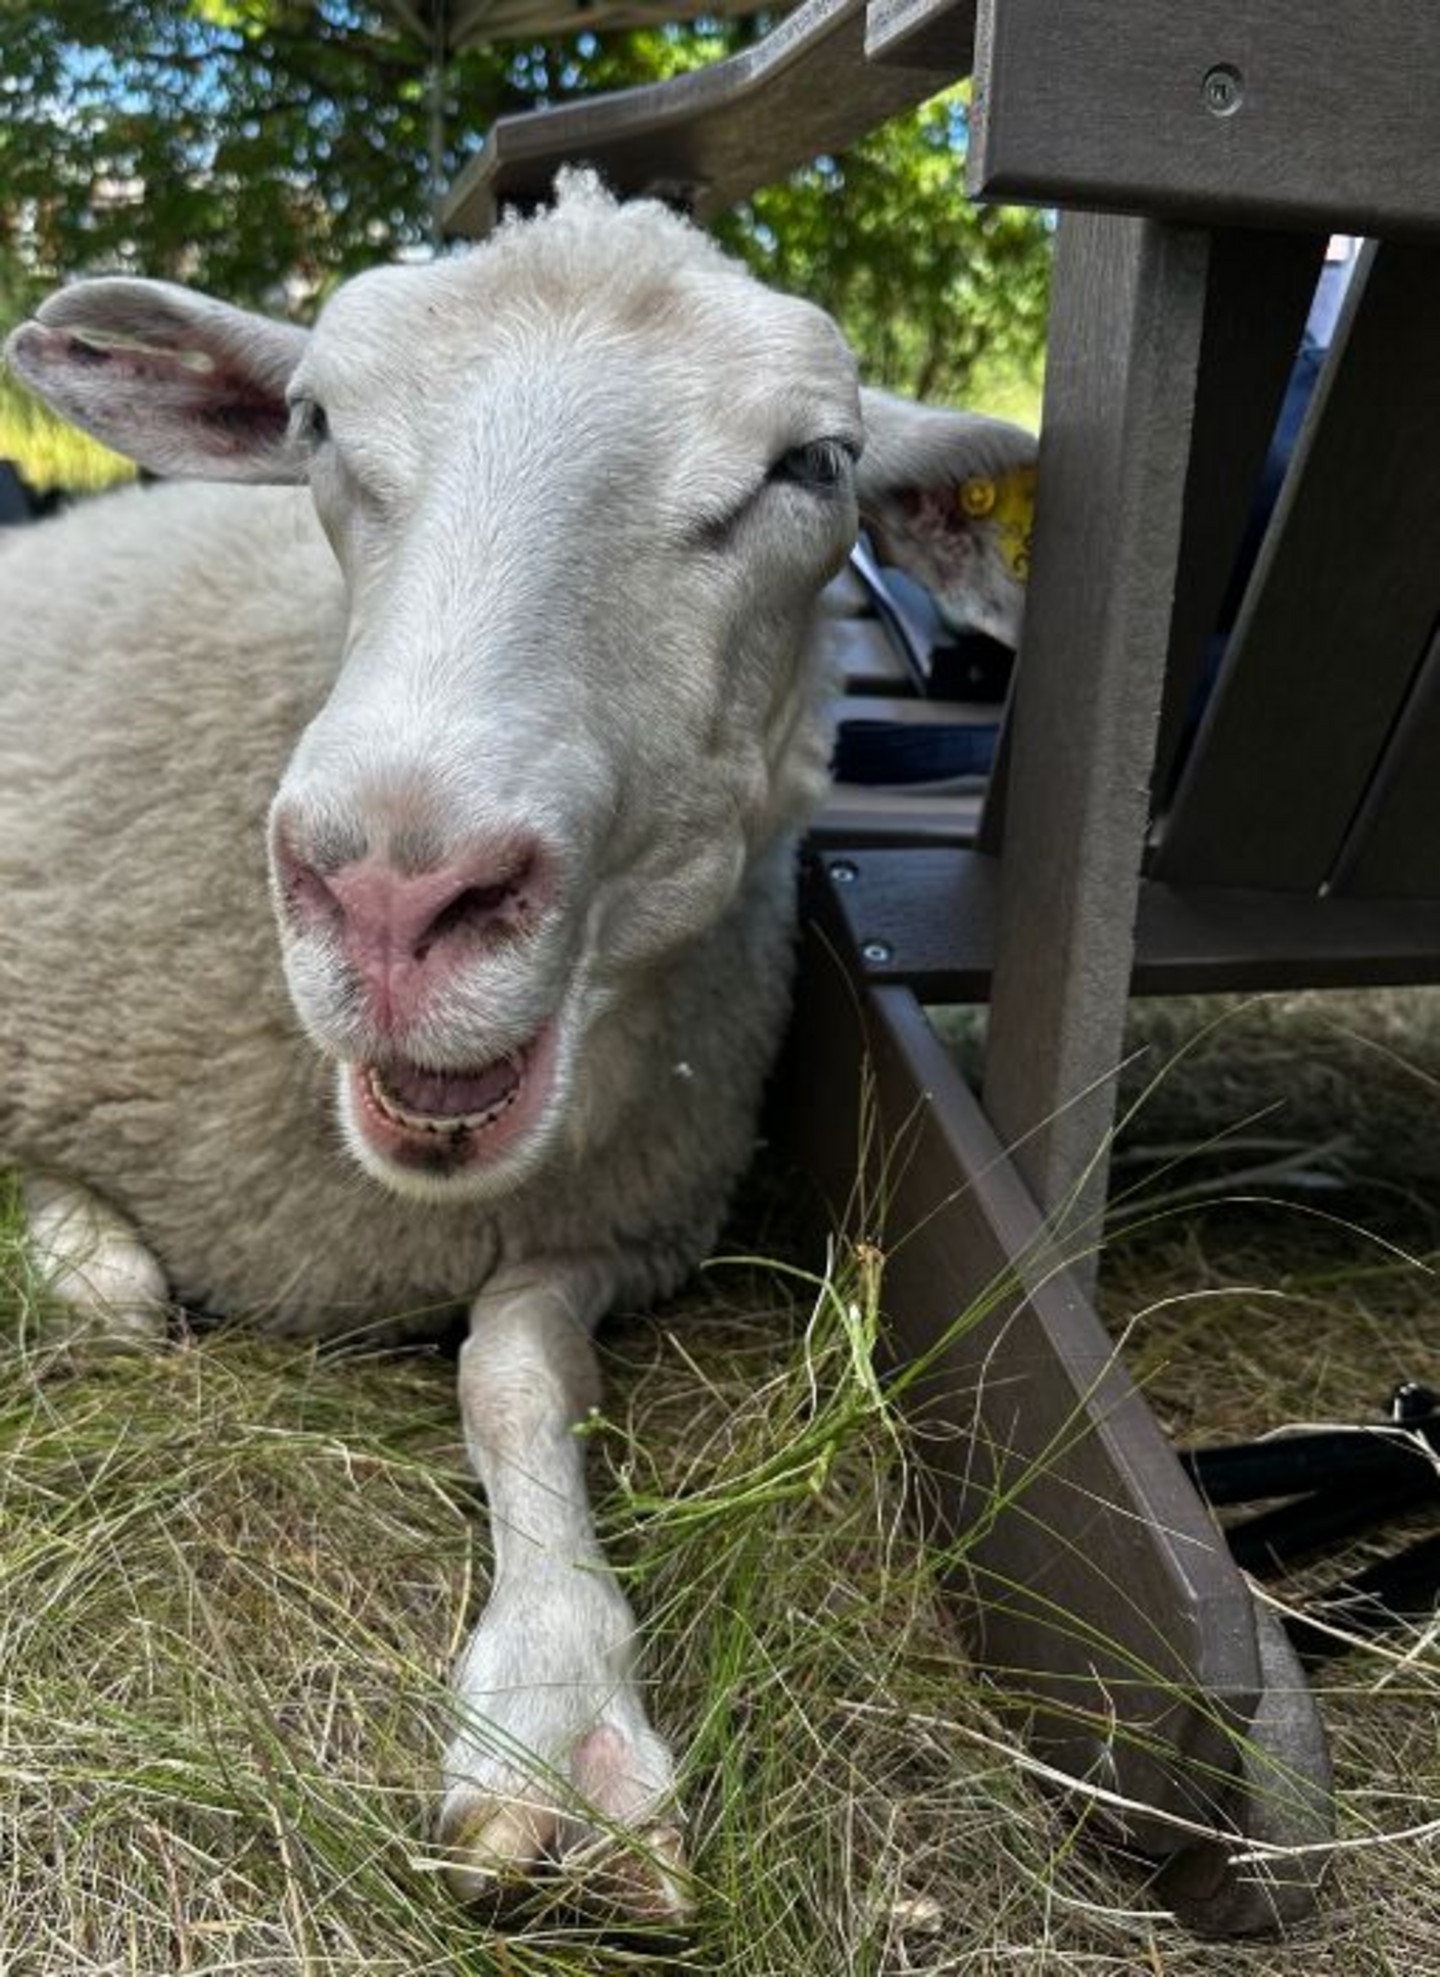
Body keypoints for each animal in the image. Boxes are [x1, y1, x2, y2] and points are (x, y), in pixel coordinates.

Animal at [1, 169, 1034, 1919]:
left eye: (816, 465)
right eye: (316, 422)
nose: (391, 892)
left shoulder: (628, 1220)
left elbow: (516, 1376)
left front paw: (553, 1721)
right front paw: (88, 1251)